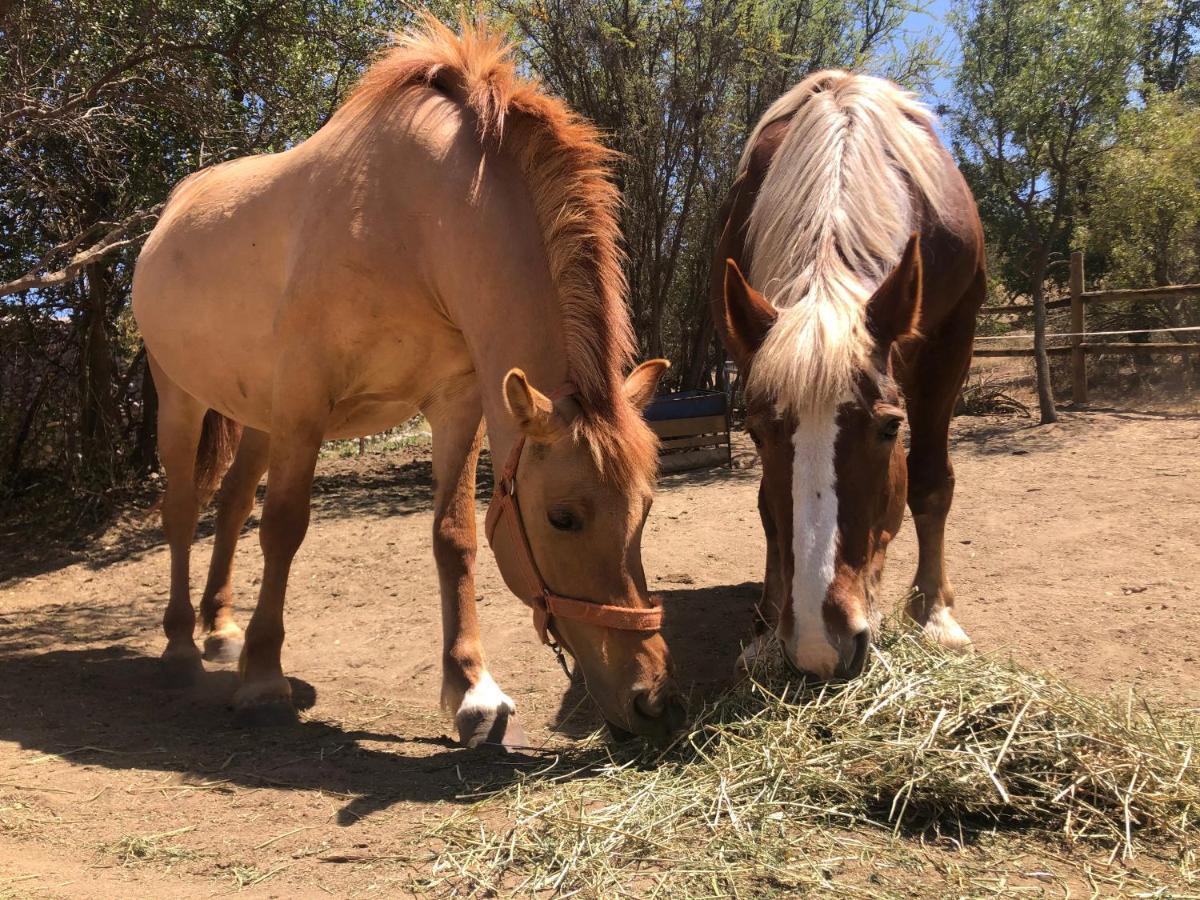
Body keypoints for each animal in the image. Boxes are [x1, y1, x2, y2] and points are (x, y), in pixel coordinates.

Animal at [131, 19, 686, 748]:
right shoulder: (305, 406)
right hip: (182, 399)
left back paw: (220, 630)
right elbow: (284, 527)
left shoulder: (456, 404)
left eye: (645, 511)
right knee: (181, 511)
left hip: (256, 418)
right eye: (562, 517)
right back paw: (179, 645)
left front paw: (473, 691)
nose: (653, 700)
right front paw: (263, 678)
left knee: (227, 508)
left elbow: (455, 539)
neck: (410, 224)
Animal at [710, 74, 984, 681]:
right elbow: (770, 509)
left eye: (889, 427)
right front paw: (767, 630)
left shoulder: (953, 339)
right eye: (755, 434)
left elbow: (931, 480)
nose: (821, 645)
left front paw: (934, 615)